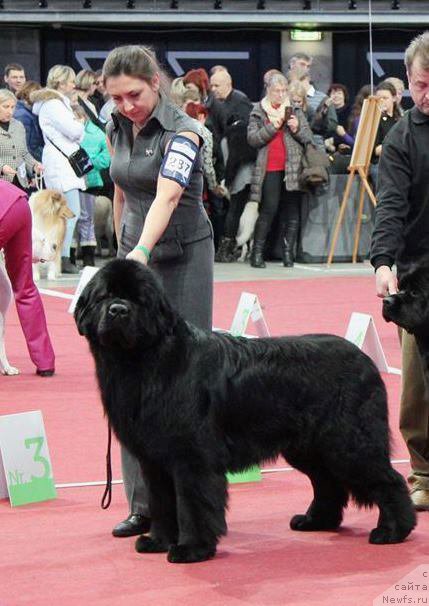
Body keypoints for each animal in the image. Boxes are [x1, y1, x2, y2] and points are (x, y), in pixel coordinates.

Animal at [74, 260, 414, 564]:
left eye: (138, 300)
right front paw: (158, 541)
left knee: (390, 479)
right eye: (105, 296)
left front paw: (192, 549)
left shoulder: (191, 457)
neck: (146, 361)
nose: (119, 310)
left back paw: (394, 530)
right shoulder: (154, 459)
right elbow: (161, 502)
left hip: (349, 443)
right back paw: (316, 521)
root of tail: (366, 360)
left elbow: (192, 504)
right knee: (328, 483)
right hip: (310, 448)